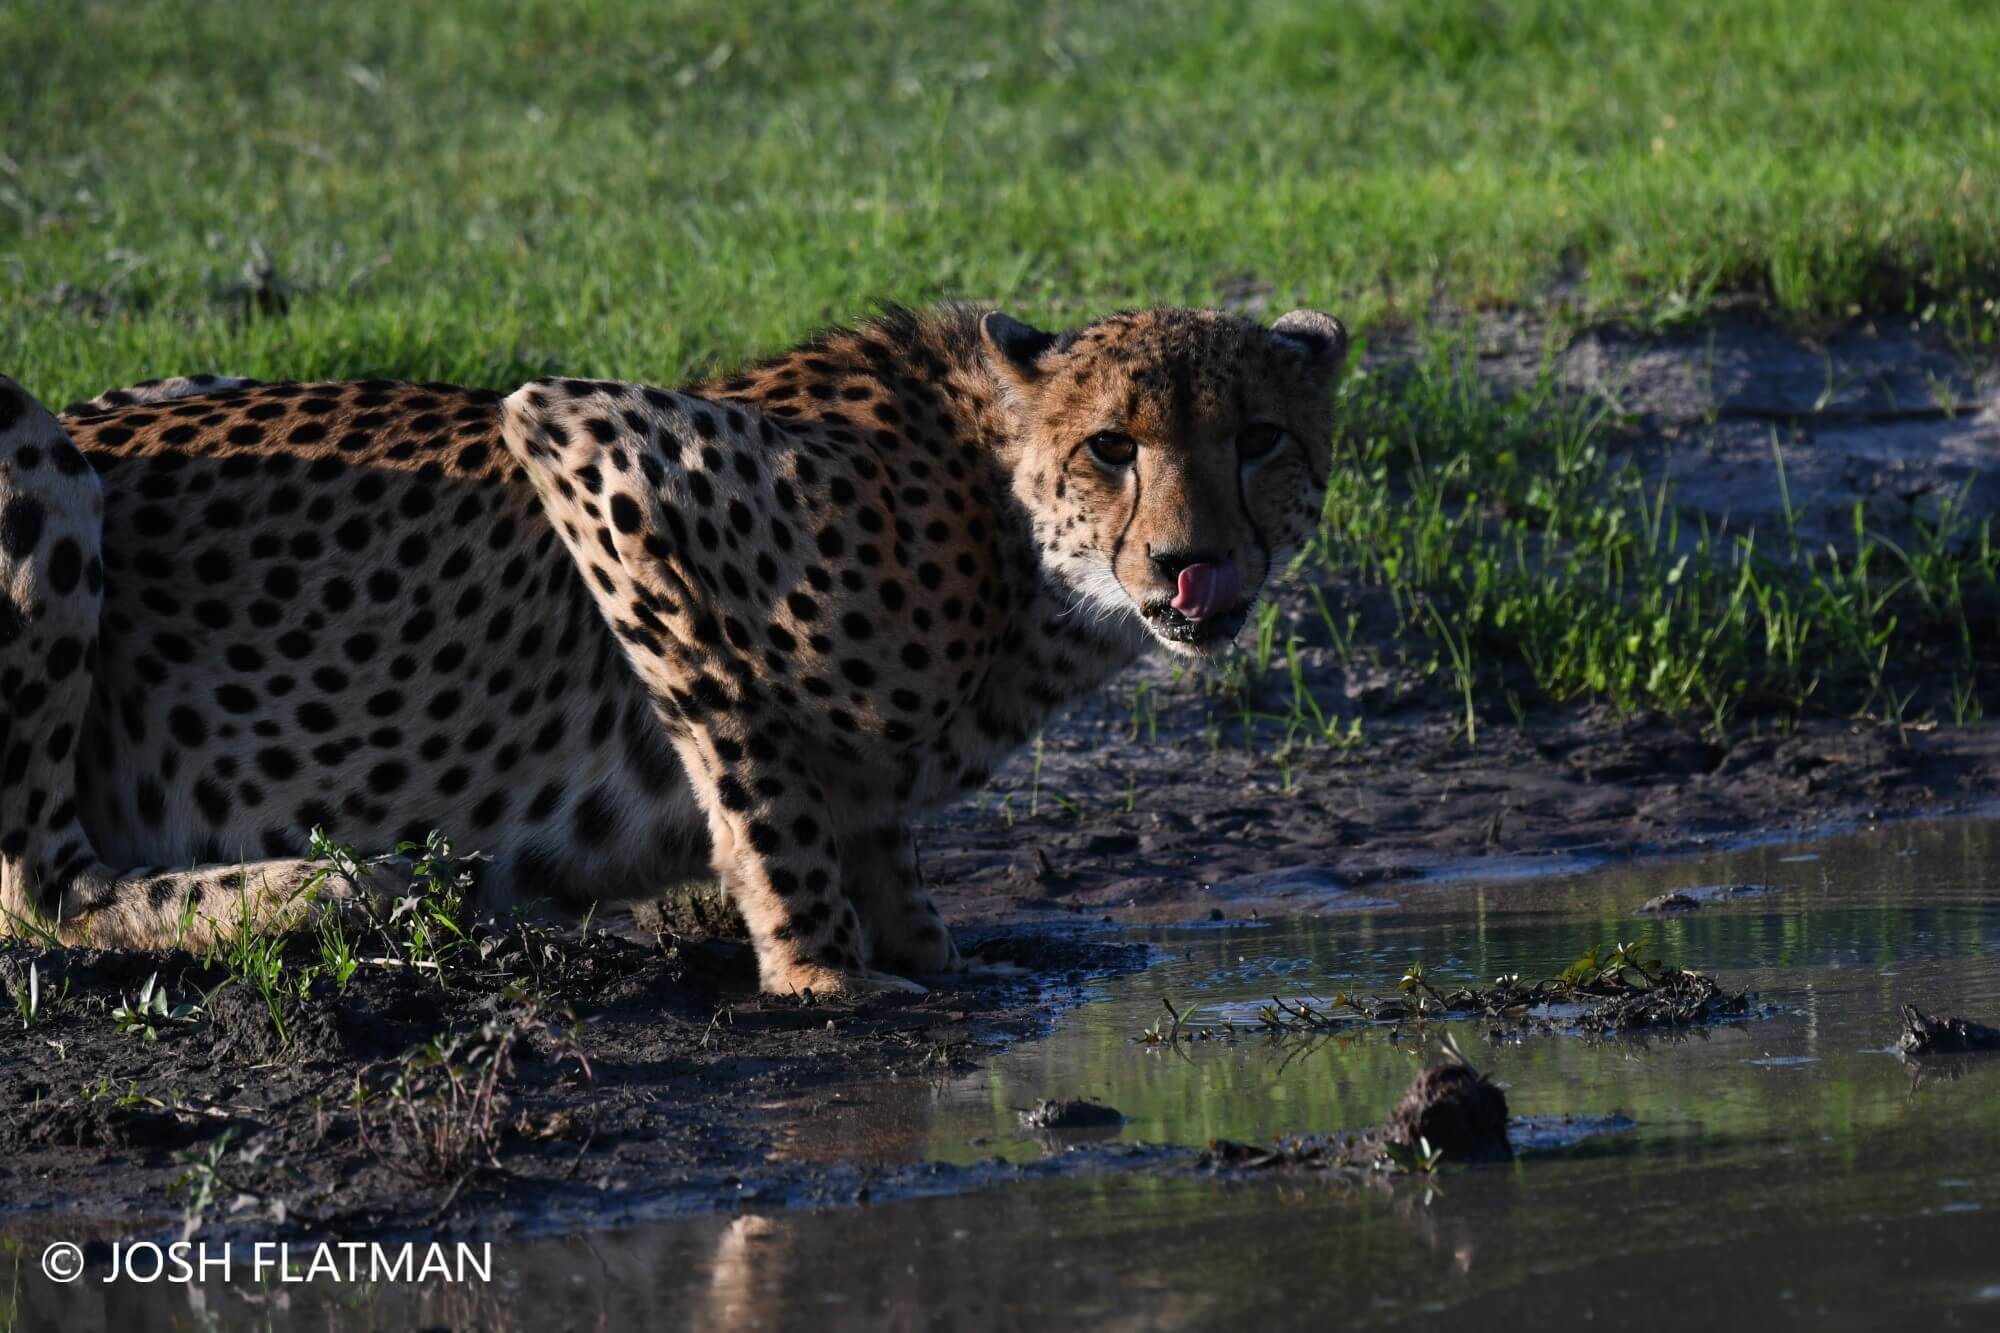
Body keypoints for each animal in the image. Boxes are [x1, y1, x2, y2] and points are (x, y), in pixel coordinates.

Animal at [0, 300, 1352, 984]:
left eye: (1260, 439)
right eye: (1110, 447)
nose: (1189, 563)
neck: (1008, 534)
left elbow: (874, 827)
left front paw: (924, 942)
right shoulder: (592, 443)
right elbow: (753, 765)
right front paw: (824, 969)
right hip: (32, 443)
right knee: (38, 890)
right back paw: (334, 889)